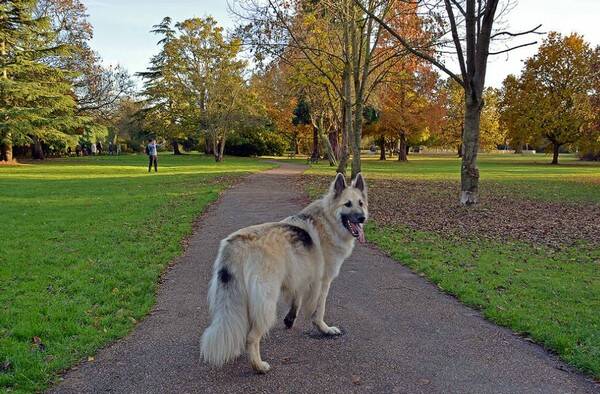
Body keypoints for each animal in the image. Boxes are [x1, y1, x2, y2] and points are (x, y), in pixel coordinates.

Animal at [200, 172, 366, 372]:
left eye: (361, 203)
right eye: (347, 204)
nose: (362, 218)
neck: (328, 221)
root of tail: (237, 244)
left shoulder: (300, 276)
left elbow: (297, 300)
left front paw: (290, 319)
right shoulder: (323, 282)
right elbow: (319, 310)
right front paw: (324, 329)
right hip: (267, 301)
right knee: (252, 336)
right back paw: (258, 366)